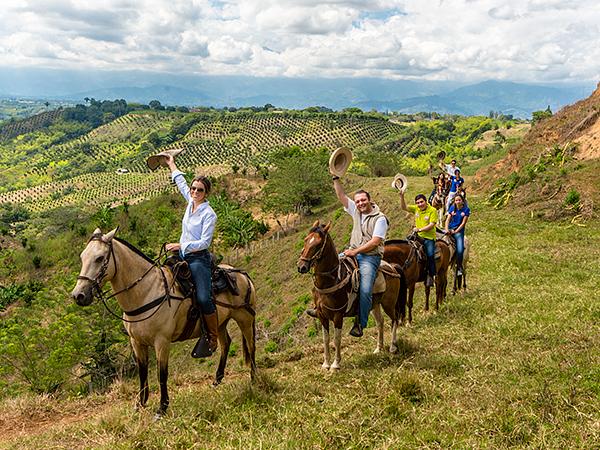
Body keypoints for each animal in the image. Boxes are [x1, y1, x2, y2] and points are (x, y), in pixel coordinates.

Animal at [71, 229, 258, 418]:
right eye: (82, 257)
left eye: (99, 258)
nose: (78, 295)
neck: (147, 292)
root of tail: (242, 274)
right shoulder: (136, 342)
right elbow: (143, 372)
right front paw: (140, 403)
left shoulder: (162, 341)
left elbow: (162, 374)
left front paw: (162, 408)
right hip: (220, 323)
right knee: (226, 343)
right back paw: (217, 380)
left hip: (244, 318)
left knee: (251, 346)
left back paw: (254, 378)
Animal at [296, 220, 406, 370]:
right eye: (306, 240)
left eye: (318, 244)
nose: (301, 266)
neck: (332, 280)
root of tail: (392, 267)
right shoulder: (322, 315)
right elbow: (326, 339)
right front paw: (325, 364)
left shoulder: (338, 316)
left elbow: (336, 339)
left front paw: (335, 364)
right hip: (374, 305)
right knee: (380, 322)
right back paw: (378, 348)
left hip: (388, 303)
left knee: (394, 319)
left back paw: (393, 347)